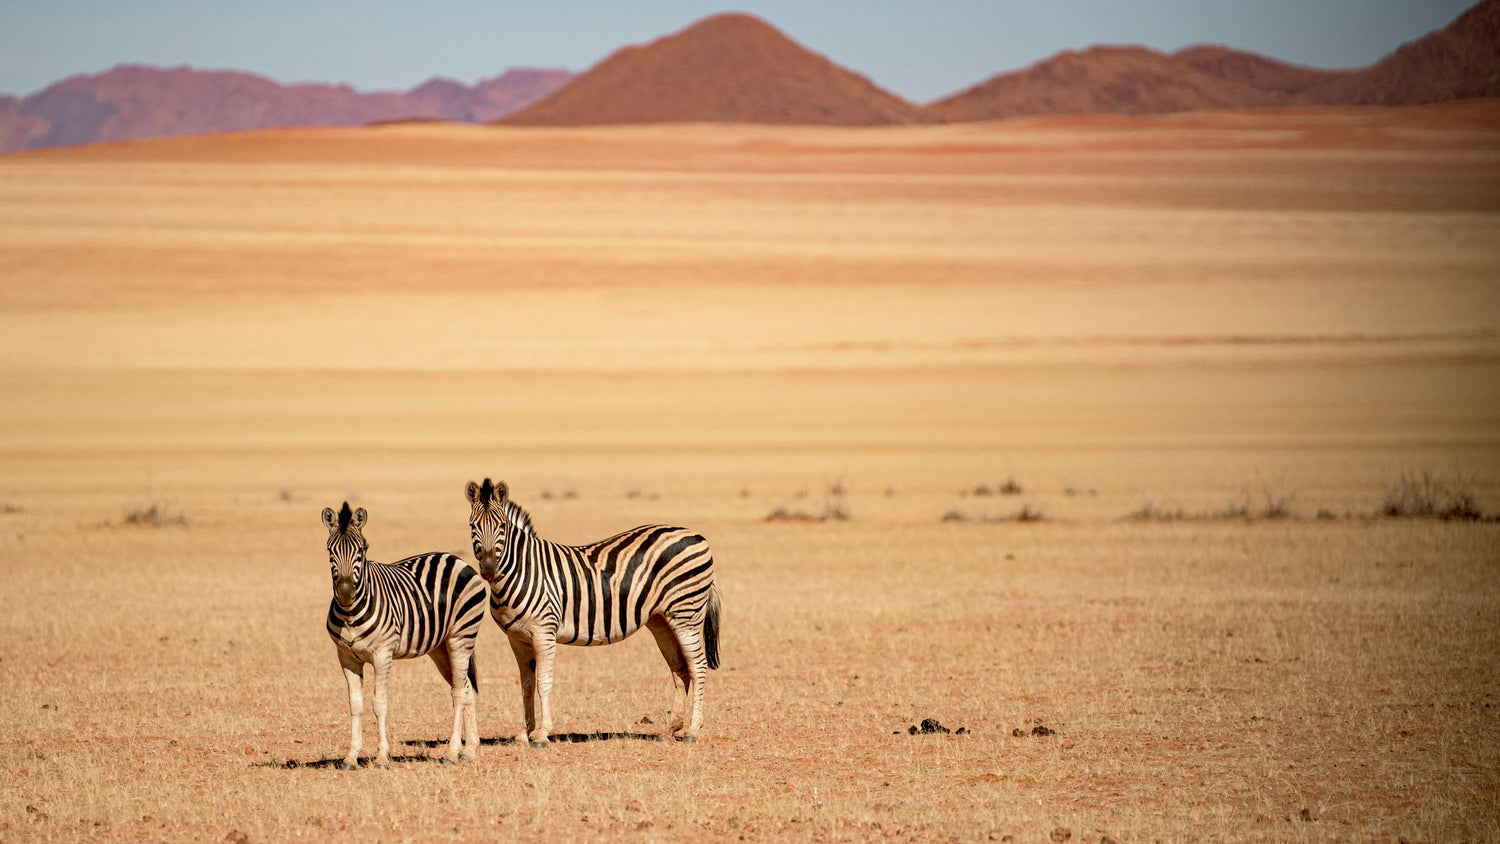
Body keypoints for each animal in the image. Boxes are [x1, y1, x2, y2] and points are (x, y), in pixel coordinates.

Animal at [322, 502, 487, 768]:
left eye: (361, 550)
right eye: (330, 551)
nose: (346, 592)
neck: (350, 613)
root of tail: (457, 559)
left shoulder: (382, 653)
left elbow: (379, 703)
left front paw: (381, 757)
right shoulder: (345, 657)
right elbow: (355, 704)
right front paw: (351, 756)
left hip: (461, 637)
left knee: (458, 693)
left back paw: (452, 753)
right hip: (440, 648)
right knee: (466, 688)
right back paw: (469, 750)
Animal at [465, 478, 721, 745]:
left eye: (502, 526)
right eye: (472, 526)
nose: (489, 569)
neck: (522, 569)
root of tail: (696, 535)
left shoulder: (544, 632)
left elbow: (543, 682)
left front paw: (542, 733)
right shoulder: (517, 638)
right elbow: (526, 685)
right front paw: (525, 733)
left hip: (687, 615)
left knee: (698, 666)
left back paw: (693, 730)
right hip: (662, 620)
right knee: (680, 669)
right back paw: (671, 728)